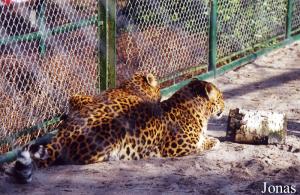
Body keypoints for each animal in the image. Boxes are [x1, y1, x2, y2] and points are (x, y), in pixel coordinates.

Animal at [10, 78, 224, 184]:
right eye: (221, 97)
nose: (224, 105)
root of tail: (64, 133)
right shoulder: (176, 147)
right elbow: (206, 143)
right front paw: (213, 141)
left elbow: (207, 137)